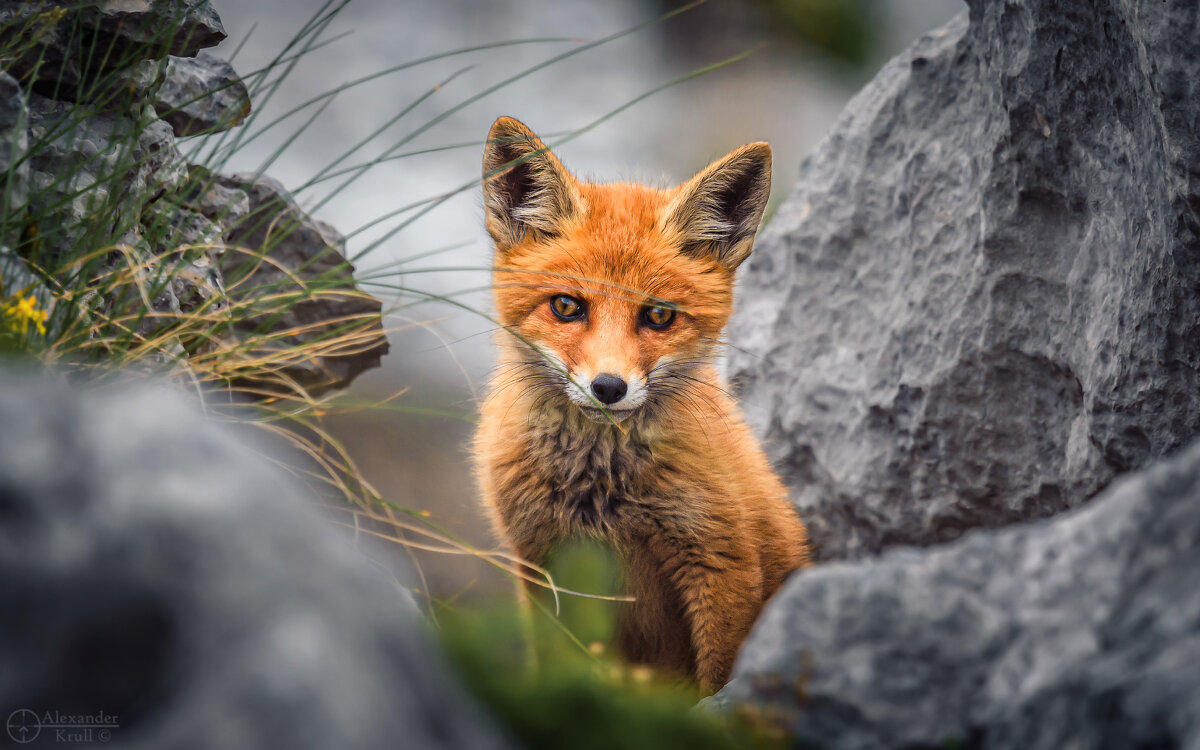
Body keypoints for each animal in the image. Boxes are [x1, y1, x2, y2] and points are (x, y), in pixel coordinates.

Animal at [470, 117, 806, 691]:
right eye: (567, 306)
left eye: (659, 316)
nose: (609, 387)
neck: (600, 489)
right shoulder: (539, 563)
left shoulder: (724, 563)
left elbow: (719, 677)